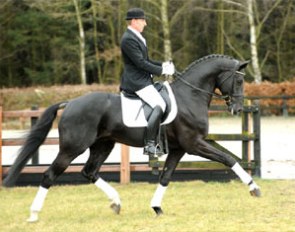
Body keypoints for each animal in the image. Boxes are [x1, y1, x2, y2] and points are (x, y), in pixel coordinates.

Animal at [2, 53, 262, 222]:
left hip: (103, 145)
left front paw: (156, 207)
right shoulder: (194, 144)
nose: (238, 109)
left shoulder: (179, 148)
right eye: (239, 80)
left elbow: (165, 177)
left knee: (89, 172)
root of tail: (71, 102)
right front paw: (253, 188)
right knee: (50, 175)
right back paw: (34, 214)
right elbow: (228, 159)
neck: (190, 95)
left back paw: (116, 202)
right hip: (72, 148)